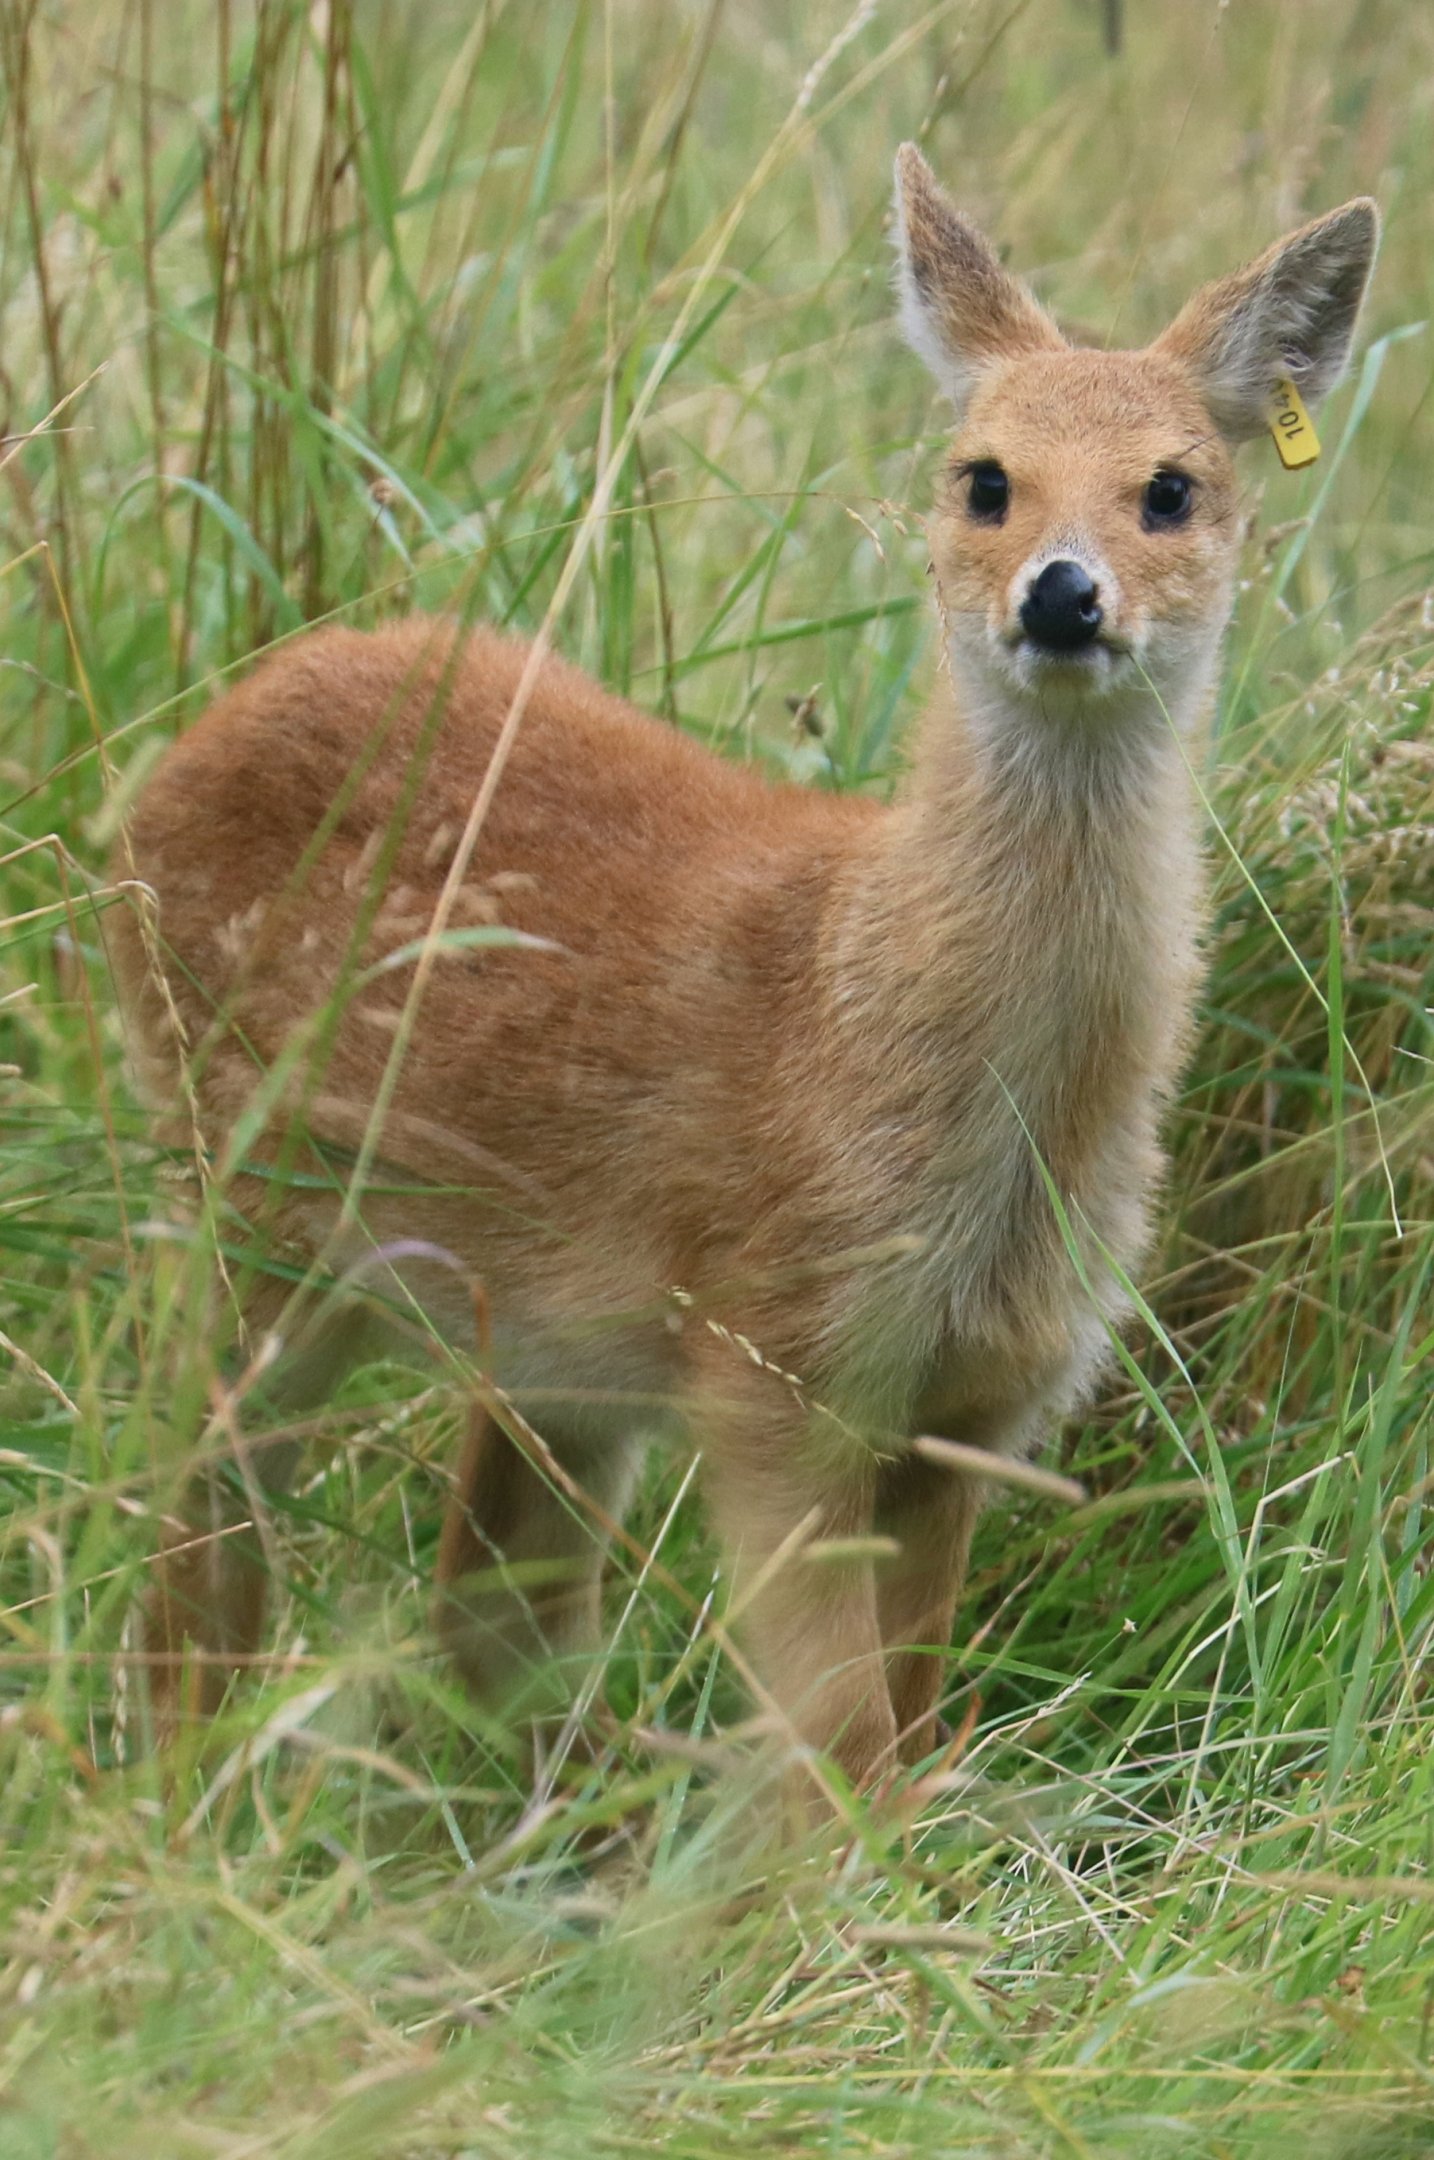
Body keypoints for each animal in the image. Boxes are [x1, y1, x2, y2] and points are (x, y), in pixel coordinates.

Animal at [107, 148, 1379, 1797]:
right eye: (981, 477)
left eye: (1171, 487)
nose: (1058, 593)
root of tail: (185, 748)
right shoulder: (772, 1366)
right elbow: (832, 1753)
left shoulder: (976, 1410)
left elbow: (907, 1736)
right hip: (245, 1213)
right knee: (198, 1527)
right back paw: (177, 1782)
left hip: (537, 1348)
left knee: (486, 1607)